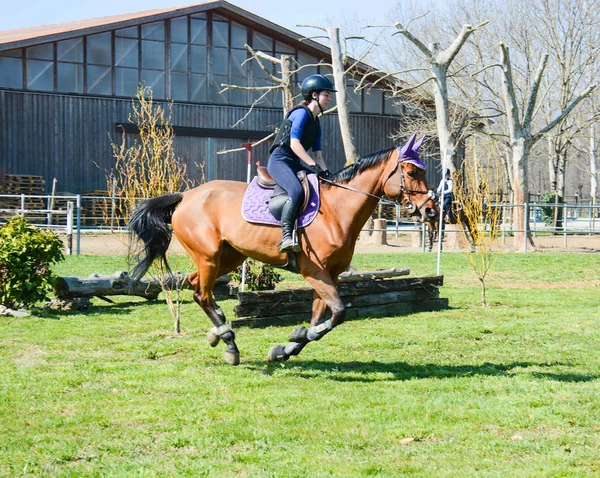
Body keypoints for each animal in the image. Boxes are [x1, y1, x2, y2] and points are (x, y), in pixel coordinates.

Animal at [127, 133, 436, 364]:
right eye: (411, 172)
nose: (430, 211)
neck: (337, 210)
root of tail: (185, 195)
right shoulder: (314, 271)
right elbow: (337, 313)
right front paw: (298, 337)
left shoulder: (329, 275)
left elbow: (320, 317)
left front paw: (287, 348)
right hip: (209, 256)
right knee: (201, 293)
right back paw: (228, 341)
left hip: (228, 256)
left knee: (195, 286)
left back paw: (218, 332)